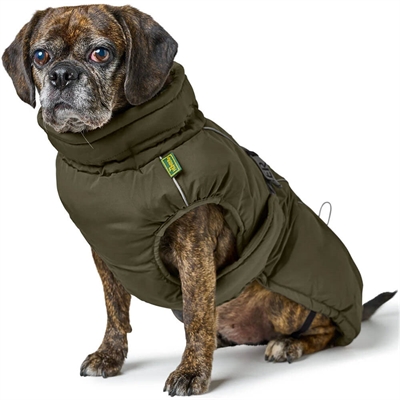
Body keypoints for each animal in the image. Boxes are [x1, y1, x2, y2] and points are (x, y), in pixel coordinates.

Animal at [2, 5, 396, 396]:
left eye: (100, 53)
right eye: (41, 56)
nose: (61, 76)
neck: (117, 159)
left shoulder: (194, 249)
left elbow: (195, 315)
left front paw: (192, 371)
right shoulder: (105, 256)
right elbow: (116, 311)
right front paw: (110, 355)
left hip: (287, 304)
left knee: (327, 331)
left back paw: (290, 344)